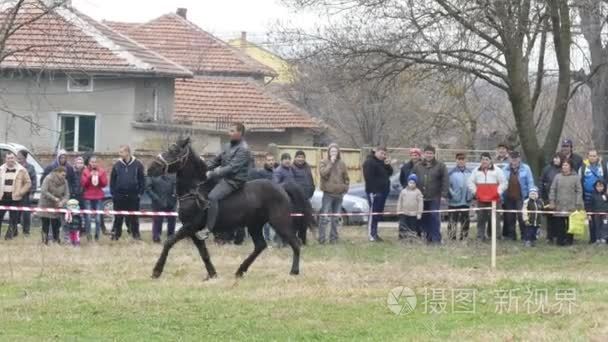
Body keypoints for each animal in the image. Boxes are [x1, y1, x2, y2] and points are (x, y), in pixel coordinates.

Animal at [147, 138, 314, 280]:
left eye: (174, 151)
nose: (151, 168)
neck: (194, 190)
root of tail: (281, 187)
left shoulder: (190, 227)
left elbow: (168, 242)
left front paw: (156, 271)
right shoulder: (194, 231)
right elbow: (204, 253)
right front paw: (212, 274)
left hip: (279, 222)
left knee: (295, 243)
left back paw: (294, 271)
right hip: (254, 225)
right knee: (260, 245)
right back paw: (240, 270)